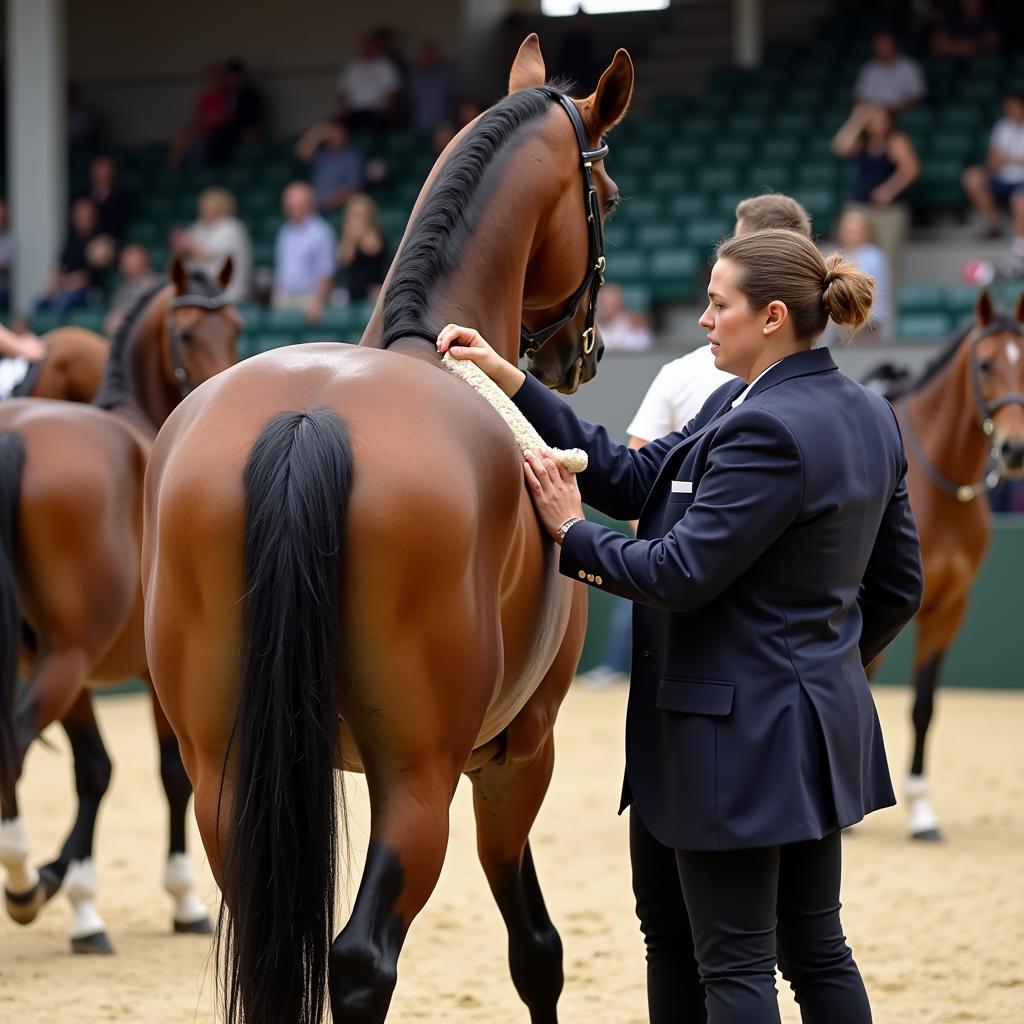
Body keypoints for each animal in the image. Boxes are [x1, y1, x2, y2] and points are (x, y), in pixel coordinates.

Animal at [0, 253, 239, 950]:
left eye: (236, 326)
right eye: (184, 333)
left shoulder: (75, 674)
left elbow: (95, 770)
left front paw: (76, 895)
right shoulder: (151, 674)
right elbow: (170, 774)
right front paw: (181, 898)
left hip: (60, 662)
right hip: (67, 660)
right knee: (12, 746)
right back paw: (20, 876)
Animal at [141, 36, 626, 1024]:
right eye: (608, 192)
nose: (576, 357)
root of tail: (309, 417)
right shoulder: (519, 755)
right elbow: (538, 951)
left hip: (224, 775)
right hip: (419, 777)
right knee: (364, 960)